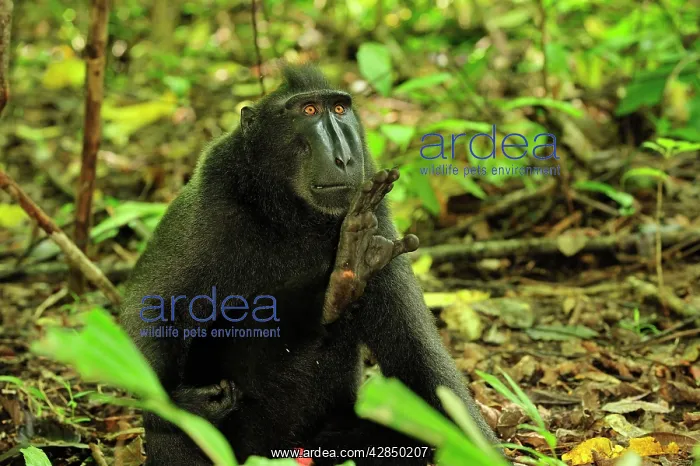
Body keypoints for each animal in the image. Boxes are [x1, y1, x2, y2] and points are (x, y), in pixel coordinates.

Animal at [119, 64, 499, 466]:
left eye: (340, 109)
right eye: (309, 111)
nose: (344, 158)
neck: (290, 214)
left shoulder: (378, 219)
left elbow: (419, 363)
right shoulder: (211, 199)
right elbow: (153, 307)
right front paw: (184, 404)